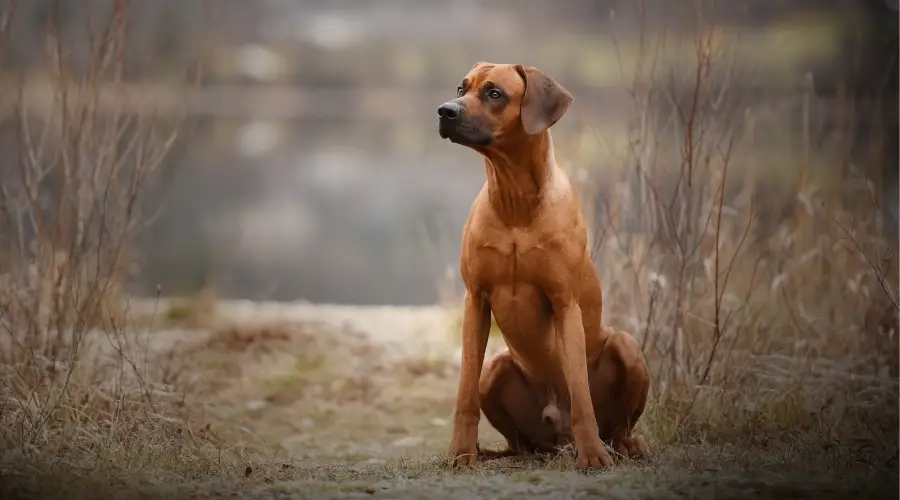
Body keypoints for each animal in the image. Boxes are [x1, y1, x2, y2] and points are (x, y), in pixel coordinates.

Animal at [438, 61, 652, 468]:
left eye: (494, 93)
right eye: (461, 87)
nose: (445, 111)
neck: (514, 202)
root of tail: (559, 439)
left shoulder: (565, 303)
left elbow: (581, 394)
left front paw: (593, 456)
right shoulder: (476, 301)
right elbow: (464, 393)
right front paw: (460, 452)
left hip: (627, 345)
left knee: (618, 426)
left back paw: (623, 445)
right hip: (497, 367)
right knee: (519, 440)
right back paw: (492, 452)